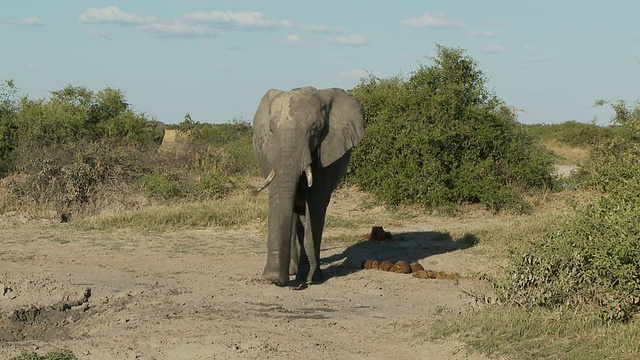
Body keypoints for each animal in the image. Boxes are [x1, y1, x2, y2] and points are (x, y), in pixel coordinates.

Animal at [254, 86, 364, 286]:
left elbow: (316, 203)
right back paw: (292, 270)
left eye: (314, 130)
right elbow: (278, 198)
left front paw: (310, 277)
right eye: (272, 130)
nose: (277, 281)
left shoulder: (327, 154)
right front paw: (273, 278)